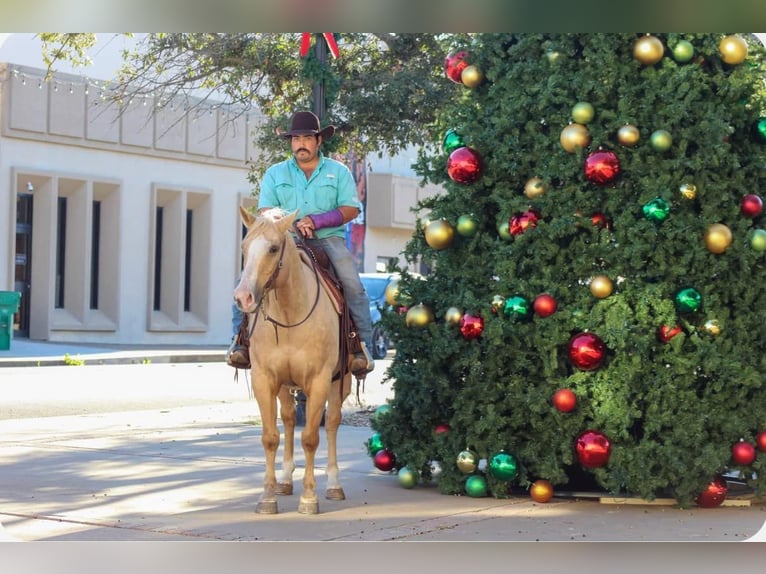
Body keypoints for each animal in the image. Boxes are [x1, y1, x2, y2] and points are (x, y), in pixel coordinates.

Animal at [233, 206, 353, 514]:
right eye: (244, 247)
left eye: (274, 248)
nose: (243, 297)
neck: (289, 313)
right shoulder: (264, 379)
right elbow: (270, 437)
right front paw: (267, 496)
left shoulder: (319, 380)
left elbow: (310, 437)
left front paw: (309, 498)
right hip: (285, 385)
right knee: (287, 420)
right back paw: (285, 481)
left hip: (341, 380)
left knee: (332, 423)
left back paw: (334, 484)